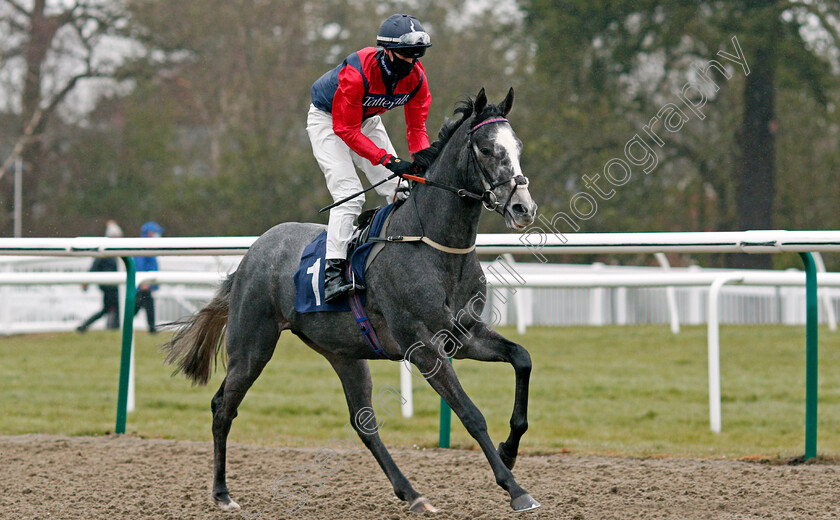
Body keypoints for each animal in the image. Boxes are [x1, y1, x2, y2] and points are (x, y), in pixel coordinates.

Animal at [166, 87, 540, 512]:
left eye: (518, 146)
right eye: (488, 149)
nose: (523, 208)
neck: (433, 244)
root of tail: (252, 253)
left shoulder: (463, 335)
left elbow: (522, 358)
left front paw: (510, 449)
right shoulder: (423, 345)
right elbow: (470, 413)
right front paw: (516, 489)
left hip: (343, 354)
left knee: (364, 423)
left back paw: (413, 494)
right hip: (252, 345)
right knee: (222, 406)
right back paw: (221, 493)